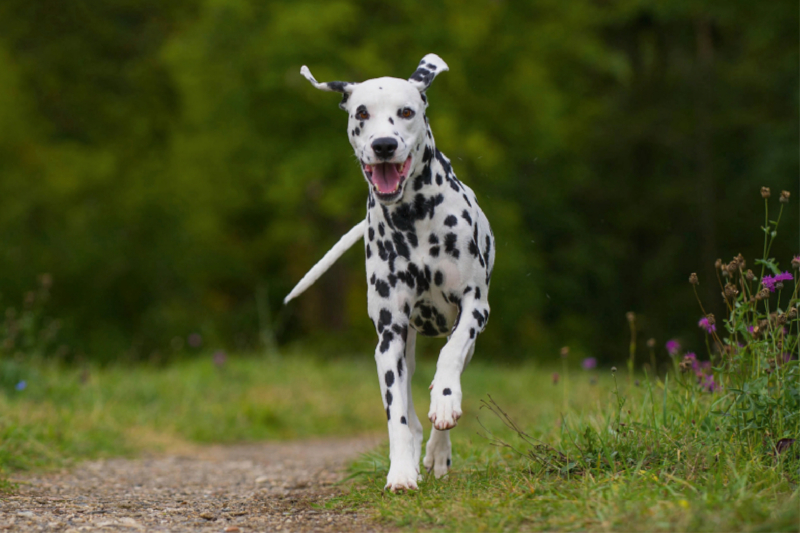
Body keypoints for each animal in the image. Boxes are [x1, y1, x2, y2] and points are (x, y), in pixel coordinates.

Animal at [282, 55, 494, 490]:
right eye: (362, 113)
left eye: (407, 112)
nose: (384, 145)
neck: (412, 217)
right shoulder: (389, 335)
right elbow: (396, 414)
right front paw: (401, 471)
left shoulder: (474, 308)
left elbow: (449, 355)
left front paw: (444, 401)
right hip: (404, 347)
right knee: (410, 406)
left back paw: (438, 449)